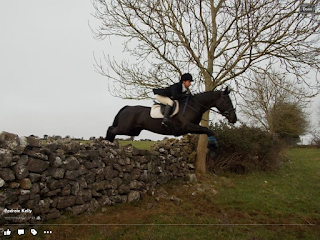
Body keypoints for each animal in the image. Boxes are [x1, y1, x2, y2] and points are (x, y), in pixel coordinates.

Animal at [105, 86, 238, 148]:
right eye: (227, 101)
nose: (234, 118)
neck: (193, 106)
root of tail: (126, 107)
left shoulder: (192, 127)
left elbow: (206, 130)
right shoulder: (188, 126)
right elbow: (208, 130)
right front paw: (213, 145)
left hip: (134, 131)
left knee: (112, 130)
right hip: (126, 128)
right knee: (111, 129)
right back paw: (107, 143)